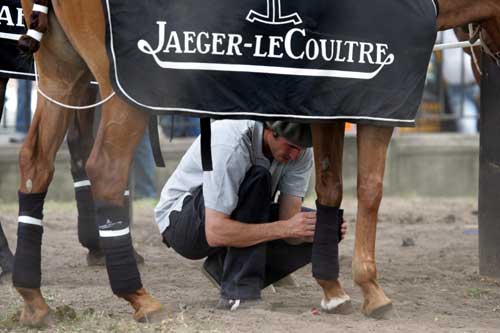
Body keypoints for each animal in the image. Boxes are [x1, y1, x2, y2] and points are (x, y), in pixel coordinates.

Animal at [10, 0, 500, 326]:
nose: (484, 65)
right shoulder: (374, 104)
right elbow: (370, 189)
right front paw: (369, 288)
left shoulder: (326, 103)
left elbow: (329, 188)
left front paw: (331, 286)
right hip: (126, 94)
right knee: (107, 171)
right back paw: (139, 296)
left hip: (63, 74)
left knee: (36, 164)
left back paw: (34, 299)